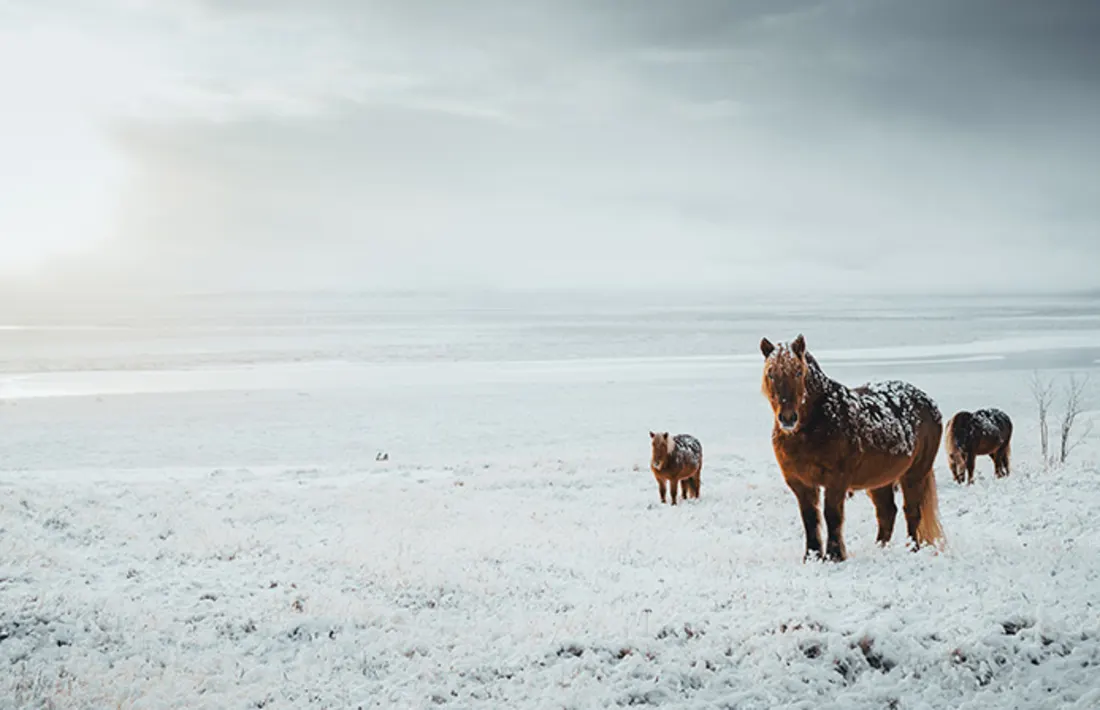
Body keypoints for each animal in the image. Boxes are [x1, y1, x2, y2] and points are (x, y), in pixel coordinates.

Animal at [760, 334, 945, 562]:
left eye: (798, 371)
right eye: (770, 373)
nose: (787, 418)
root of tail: (928, 402)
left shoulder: (836, 480)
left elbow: (832, 516)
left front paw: (834, 555)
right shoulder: (800, 483)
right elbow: (810, 519)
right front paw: (812, 557)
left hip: (914, 474)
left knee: (911, 511)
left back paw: (912, 549)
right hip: (880, 479)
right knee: (887, 512)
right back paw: (880, 549)